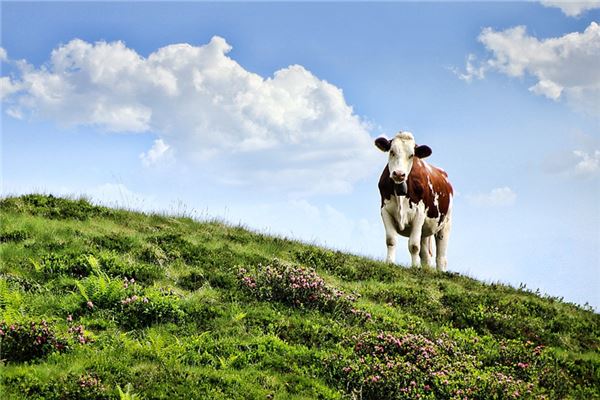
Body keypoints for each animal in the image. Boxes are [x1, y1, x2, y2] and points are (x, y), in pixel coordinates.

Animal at [372, 133, 452, 270]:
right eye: (392, 151)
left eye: (411, 155)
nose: (399, 174)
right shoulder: (385, 211)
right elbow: (391, 240)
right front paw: (390, 262)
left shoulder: (419, 214)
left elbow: (414, 246)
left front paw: (415, 268)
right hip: (425, 230)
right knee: (425, 254)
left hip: (445, 223)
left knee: (441, 257)